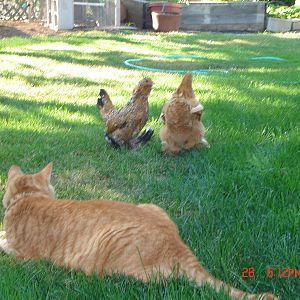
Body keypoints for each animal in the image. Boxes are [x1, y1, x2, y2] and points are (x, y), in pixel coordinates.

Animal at [0, 164, 276, 300]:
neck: (28, 198)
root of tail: (177, 245)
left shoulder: (22, 253)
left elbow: (2, 240)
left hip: (111, 265)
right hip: (152, 207)